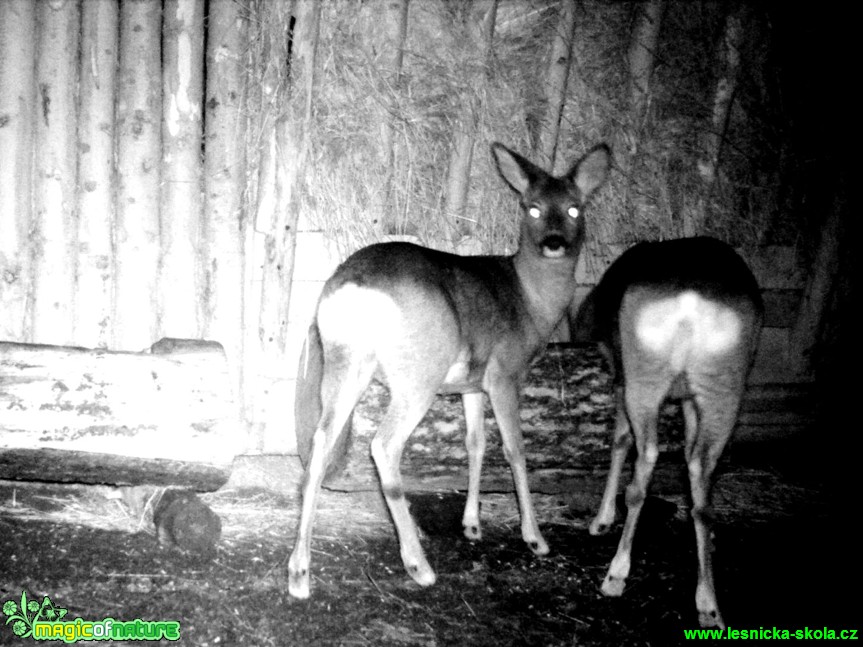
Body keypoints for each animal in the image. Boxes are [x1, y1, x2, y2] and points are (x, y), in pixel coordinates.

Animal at [286, 140, 612, 596]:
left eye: (574, 208)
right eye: (530, 208)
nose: (553, 243)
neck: (531, 300)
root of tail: (355, 286)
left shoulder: (471, 385)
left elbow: (475, 445)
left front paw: (472, 525)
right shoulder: (505, 371)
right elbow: (514, 449)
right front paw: (535, 538)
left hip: (342, 362)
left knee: (319, 444)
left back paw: (299, 572)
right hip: (418, 373)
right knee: (384, 446)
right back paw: (418, 565)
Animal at [572, 237, 764, 628]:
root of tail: (691, 303)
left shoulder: (621, 377)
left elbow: (619, 442)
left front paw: (601, 519)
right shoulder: (689, 399)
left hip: (643, 376)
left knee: (644, 461)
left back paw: (616, 573)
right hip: (724, 386)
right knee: (702, 473)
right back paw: (708, 603)